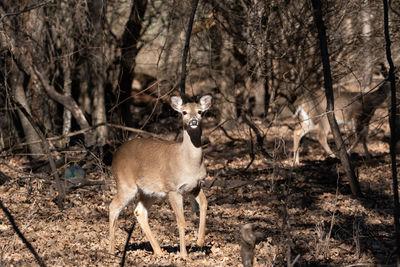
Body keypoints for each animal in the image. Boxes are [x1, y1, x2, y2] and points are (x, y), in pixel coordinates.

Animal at [108, 94, 211, 258]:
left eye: (200, 111)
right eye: (184, 112)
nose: (193, 121)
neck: (189, 163)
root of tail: (115, 154)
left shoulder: (196, 186)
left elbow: (204, 204)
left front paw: (200, 241)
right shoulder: (173, 189)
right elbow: (181, 221)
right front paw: (183, 254)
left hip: (148, 191)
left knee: (139, 211)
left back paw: (158, 251)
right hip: (125, 183)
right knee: (113, 207)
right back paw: (111, 251)